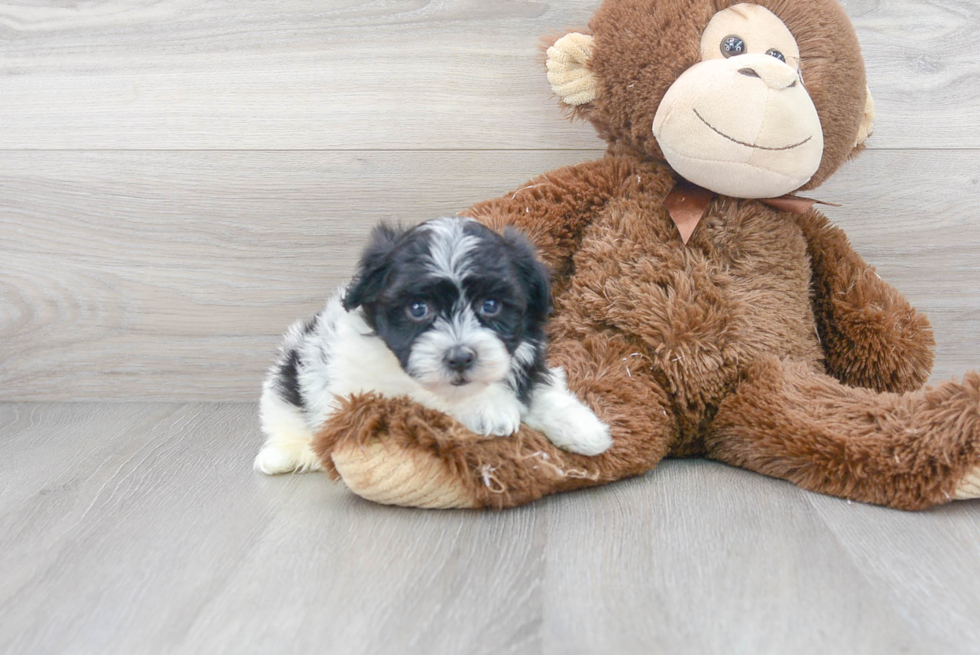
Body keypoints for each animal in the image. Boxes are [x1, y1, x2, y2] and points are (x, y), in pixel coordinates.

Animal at [258, 218, 612, 474]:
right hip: (286, 381)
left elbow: (540, 388)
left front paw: (584, 428)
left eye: (491, 305)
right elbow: (426, 392)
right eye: (418, 309)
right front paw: (489, 408)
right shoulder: (374, 389)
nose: (460, 358)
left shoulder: (526, 357)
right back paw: (280, 456)